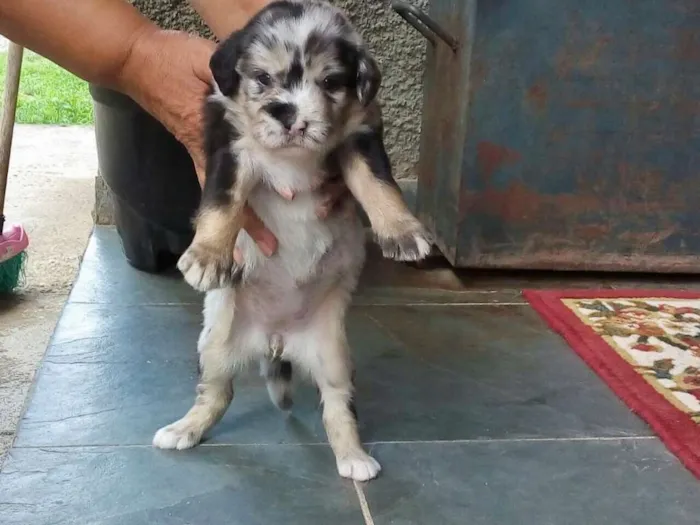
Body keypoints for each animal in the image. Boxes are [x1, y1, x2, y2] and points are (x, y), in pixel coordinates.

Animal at [153, 0, 432, 482]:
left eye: (330, 82)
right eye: (262, 78)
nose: (286, 112)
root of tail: (275, 340)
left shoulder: (360, 140)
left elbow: (379, 186)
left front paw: (403, 232)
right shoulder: (231, 149)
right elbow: (222, 205)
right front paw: (207, 257)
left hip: (335, 357)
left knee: (338, 408)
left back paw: (354, 457)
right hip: (215, 345)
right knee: (216, 394)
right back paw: (184, 429)